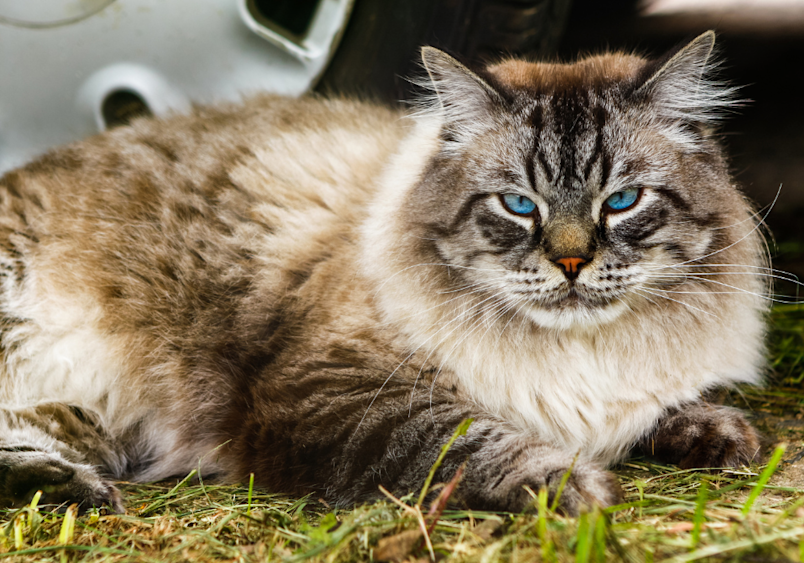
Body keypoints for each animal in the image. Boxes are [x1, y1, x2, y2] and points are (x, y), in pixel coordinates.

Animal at [0, 30, 768, 516]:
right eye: (519, 205)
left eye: (623, 201)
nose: (572, 261)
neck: (579, 351)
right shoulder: (334, 394)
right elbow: (468, 438)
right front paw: (571, 486)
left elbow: (664, 408)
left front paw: (721, 435)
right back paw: (83, 492)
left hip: (87, 411)